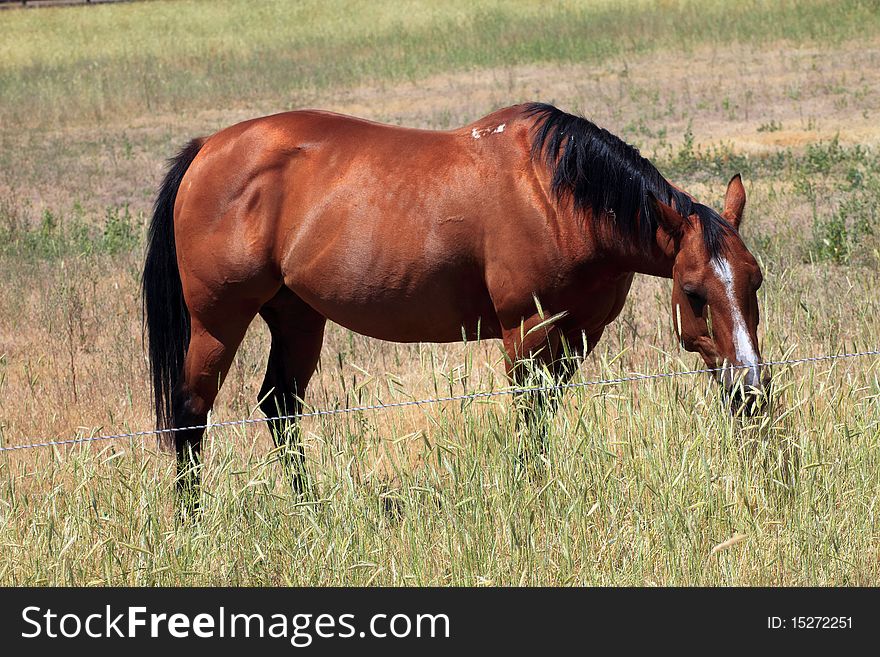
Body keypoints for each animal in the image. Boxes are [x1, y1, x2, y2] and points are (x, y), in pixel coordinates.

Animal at [141, 102, 768, 508]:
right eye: (694, 292)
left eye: (755, 282)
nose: (751, 392)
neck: (556, 197)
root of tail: (208, 149)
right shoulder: (526, 333)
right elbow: (530, 417)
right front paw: (534, 496)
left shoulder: (575, 336)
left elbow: (547, 413)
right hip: (217, 322)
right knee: (191, 411)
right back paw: (192, 516)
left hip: (297, 317)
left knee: (279, 406)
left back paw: (308, 508)